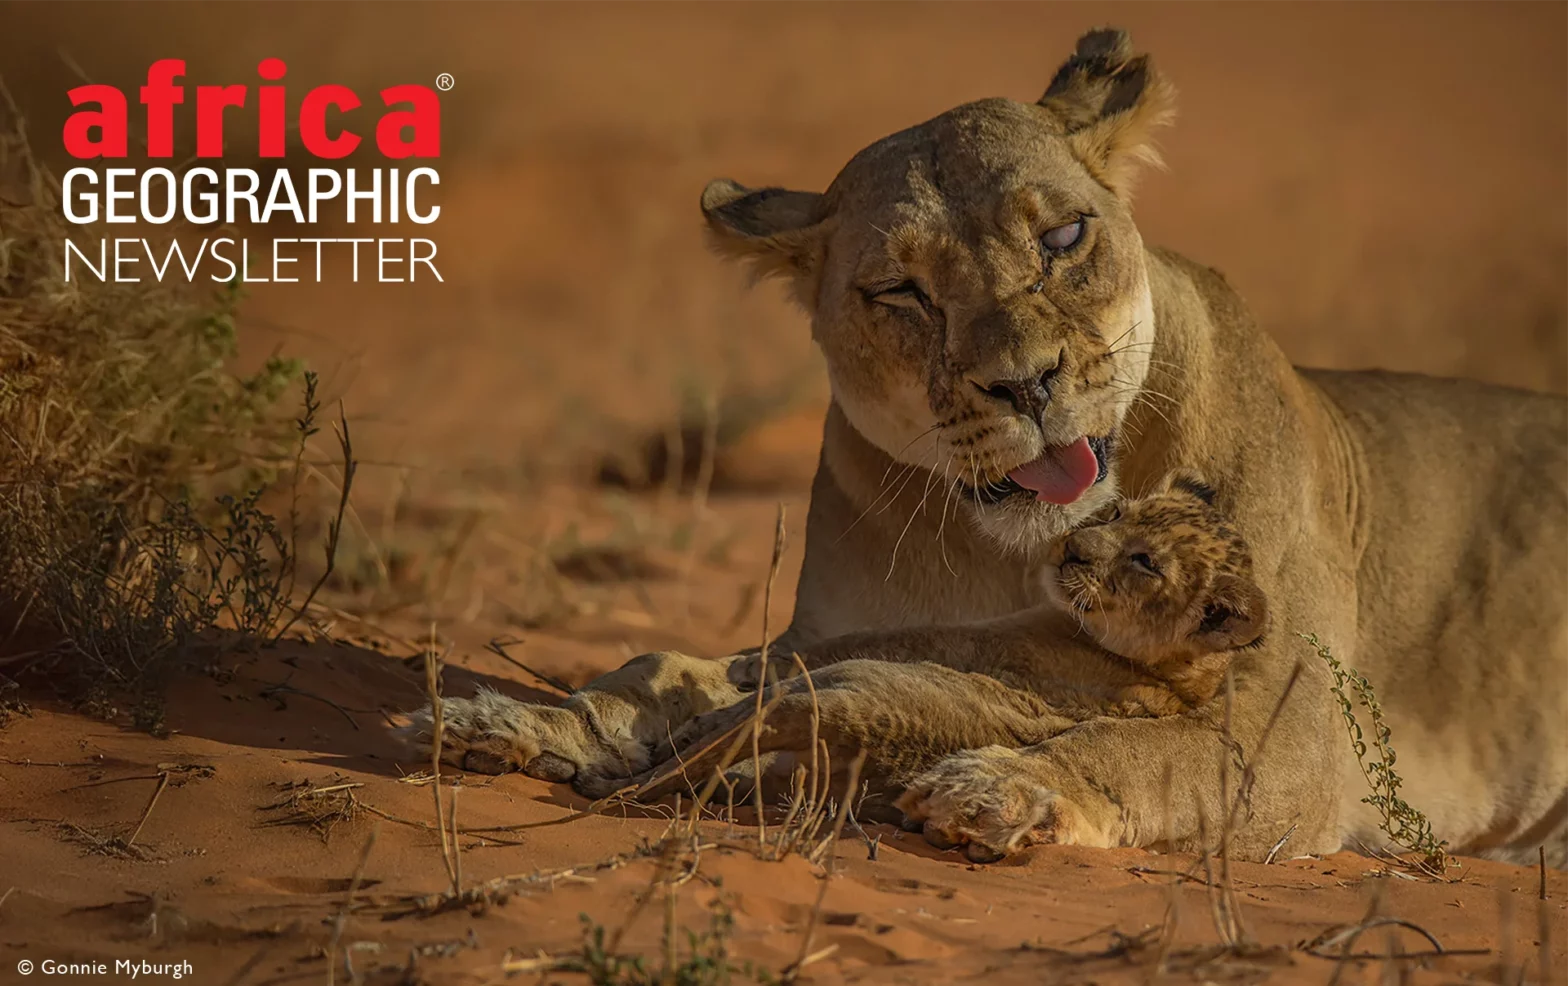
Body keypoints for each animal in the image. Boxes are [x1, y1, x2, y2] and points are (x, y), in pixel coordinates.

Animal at [405, 27, 1568, 867]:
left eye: (1062, 237)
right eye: (899, 289)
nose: (1026, 382)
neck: (1007, 553)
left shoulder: (1300, 733)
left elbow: (1157, 755)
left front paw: (1001, 784)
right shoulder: (823, 638)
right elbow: (667, 668)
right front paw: (514, 717)